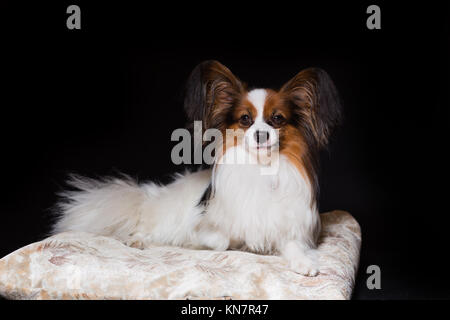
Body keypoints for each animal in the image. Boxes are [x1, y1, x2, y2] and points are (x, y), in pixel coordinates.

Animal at [52, 61, 342, 276]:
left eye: (277, 119)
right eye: (245, 119)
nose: (261, 134)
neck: (259, 168)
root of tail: (153, 196)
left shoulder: (288, 228)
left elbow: (293, 246)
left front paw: (304, 263)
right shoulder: (206, 224)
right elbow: (220, 240)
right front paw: (202, 243)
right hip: (166, 217)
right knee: (149, 228)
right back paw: (139, 239)